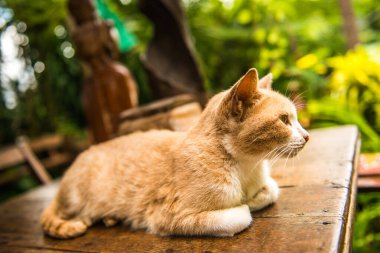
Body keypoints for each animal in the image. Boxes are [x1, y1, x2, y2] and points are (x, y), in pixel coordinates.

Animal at [41, 67, 308, 237]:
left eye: (293, 119)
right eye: (285, 120)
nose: (307, 136)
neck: (246, 167)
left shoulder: (266, 184)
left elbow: (271, 190)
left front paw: (253, 198)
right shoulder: (167, 216)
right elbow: (241, 215)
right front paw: (244, 205)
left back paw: (110, 218)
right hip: (75, 200)